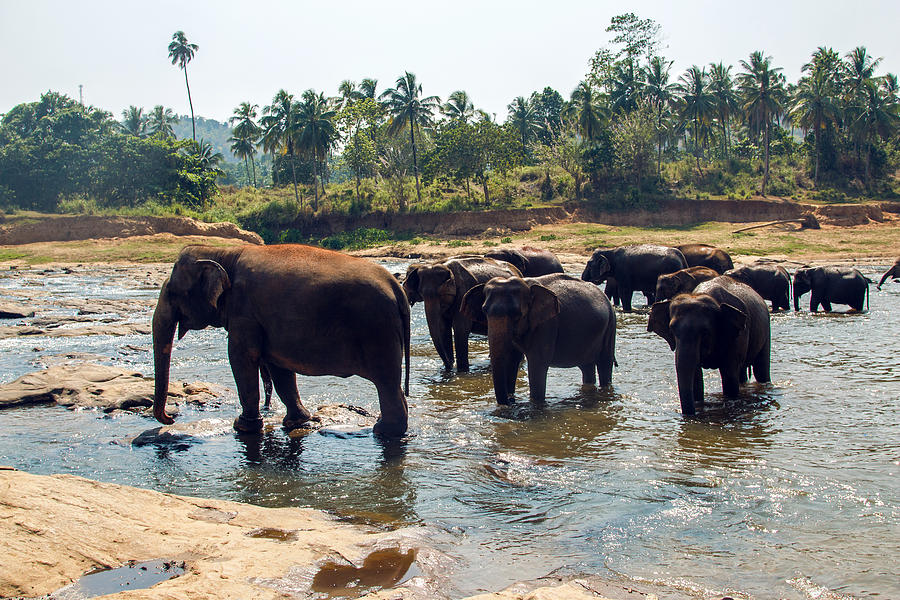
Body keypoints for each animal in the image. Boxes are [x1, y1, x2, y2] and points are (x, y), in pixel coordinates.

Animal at [152, 246, 412, 438]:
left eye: (173, 292)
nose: (170, 418)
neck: (224, 253)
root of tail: (396, 288)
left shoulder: (244, 312)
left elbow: (240, 357)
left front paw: (242, 426)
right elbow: (279, 367)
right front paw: (297, 421)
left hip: (377, 330)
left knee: (386, 382)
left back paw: (383, 431)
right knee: (392, 384)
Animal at [460, 274, 616, 406]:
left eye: (517, 314)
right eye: (484, 311)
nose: (509, 402)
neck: (526, 285)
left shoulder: (547, 325)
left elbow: (537, 365)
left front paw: (536, 404)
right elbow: (511, 360)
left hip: (611, 326)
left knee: (604, 364)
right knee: (587, 366)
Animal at [648, 274, 772, 414]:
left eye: (705, 332)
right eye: (672, 330)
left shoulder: (737, 335)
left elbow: (729, 375)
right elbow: (696, 377)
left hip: (766, 329)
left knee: (760, 370)